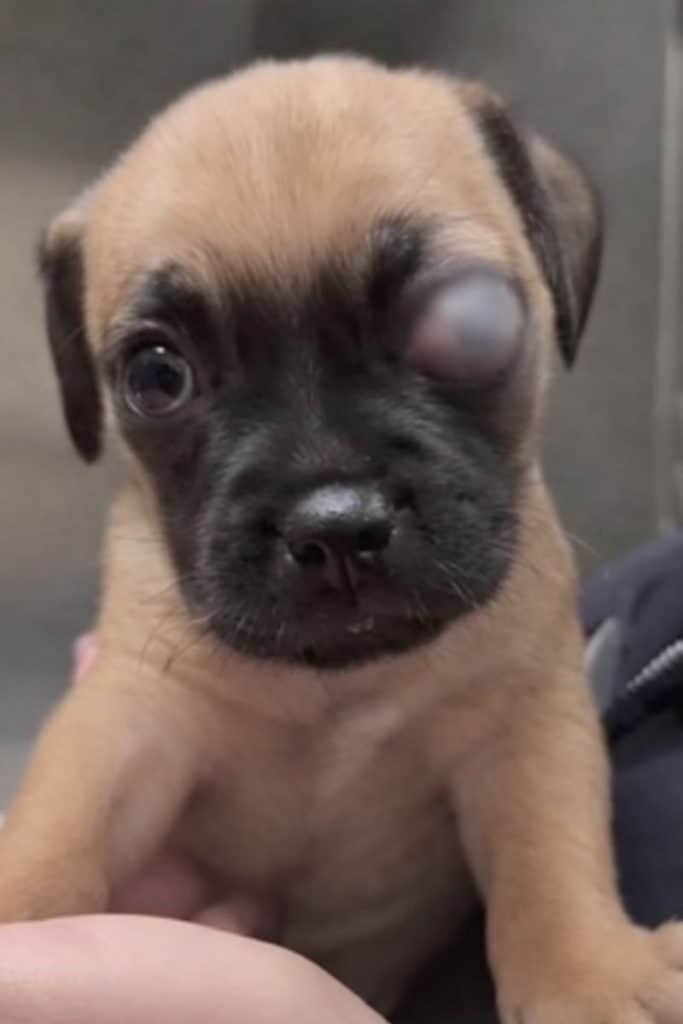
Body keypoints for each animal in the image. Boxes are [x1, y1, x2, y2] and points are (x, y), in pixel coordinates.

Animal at [2, 55, 682, 1022]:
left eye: (467, 324)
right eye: (156, 376)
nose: (333, 525)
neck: (340, 685)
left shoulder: (525, 723)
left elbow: (549, 852)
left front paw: (588, 979)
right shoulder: (133, 718)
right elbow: (58, 826)